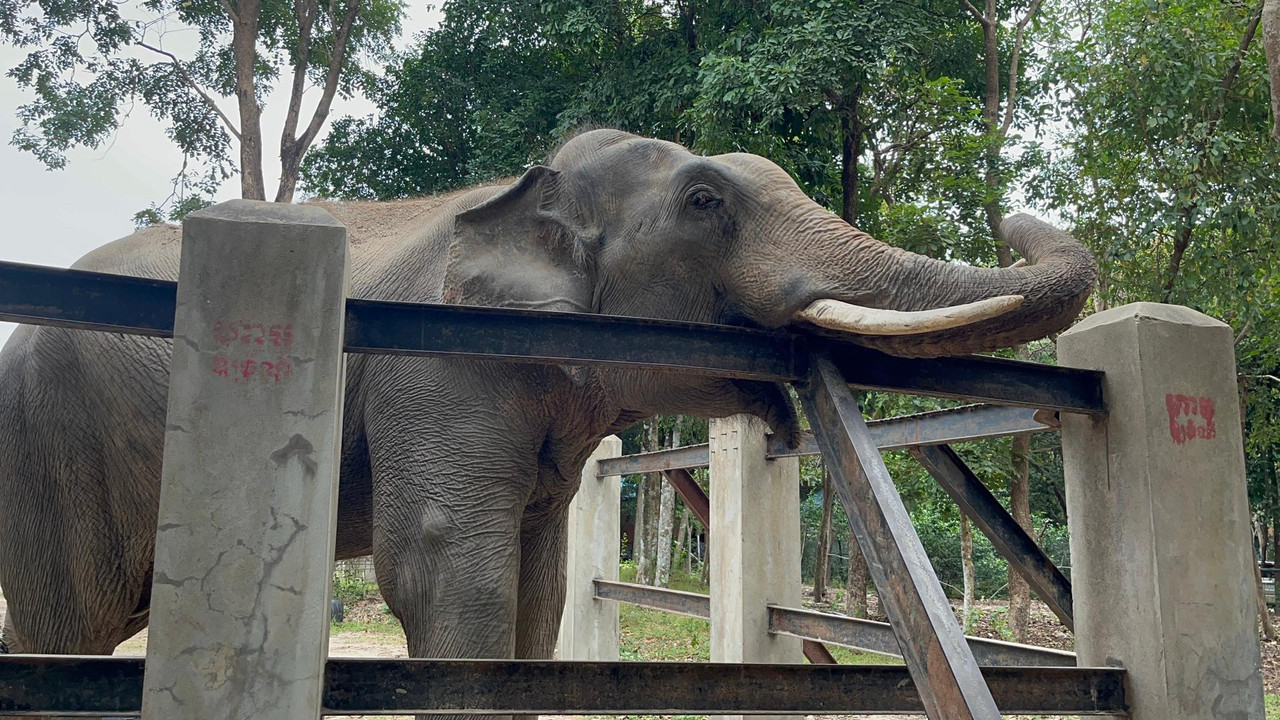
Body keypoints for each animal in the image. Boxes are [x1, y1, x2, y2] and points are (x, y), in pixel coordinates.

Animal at [0, 129, 1096, 678]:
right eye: (705, 202)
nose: (1010, 212)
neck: (522, 186)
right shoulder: (439, 366)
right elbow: (450, 569)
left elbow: (538, 587)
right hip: (49, 447)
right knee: (72, 624)